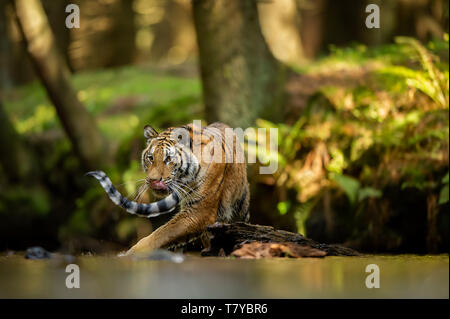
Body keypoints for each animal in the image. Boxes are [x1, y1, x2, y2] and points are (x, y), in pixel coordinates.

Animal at [88, 121, 250, 256]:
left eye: (168, 159)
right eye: (150, 158)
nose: (153, 180)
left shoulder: (199, 211)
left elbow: (162, 233)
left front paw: (130, 254)